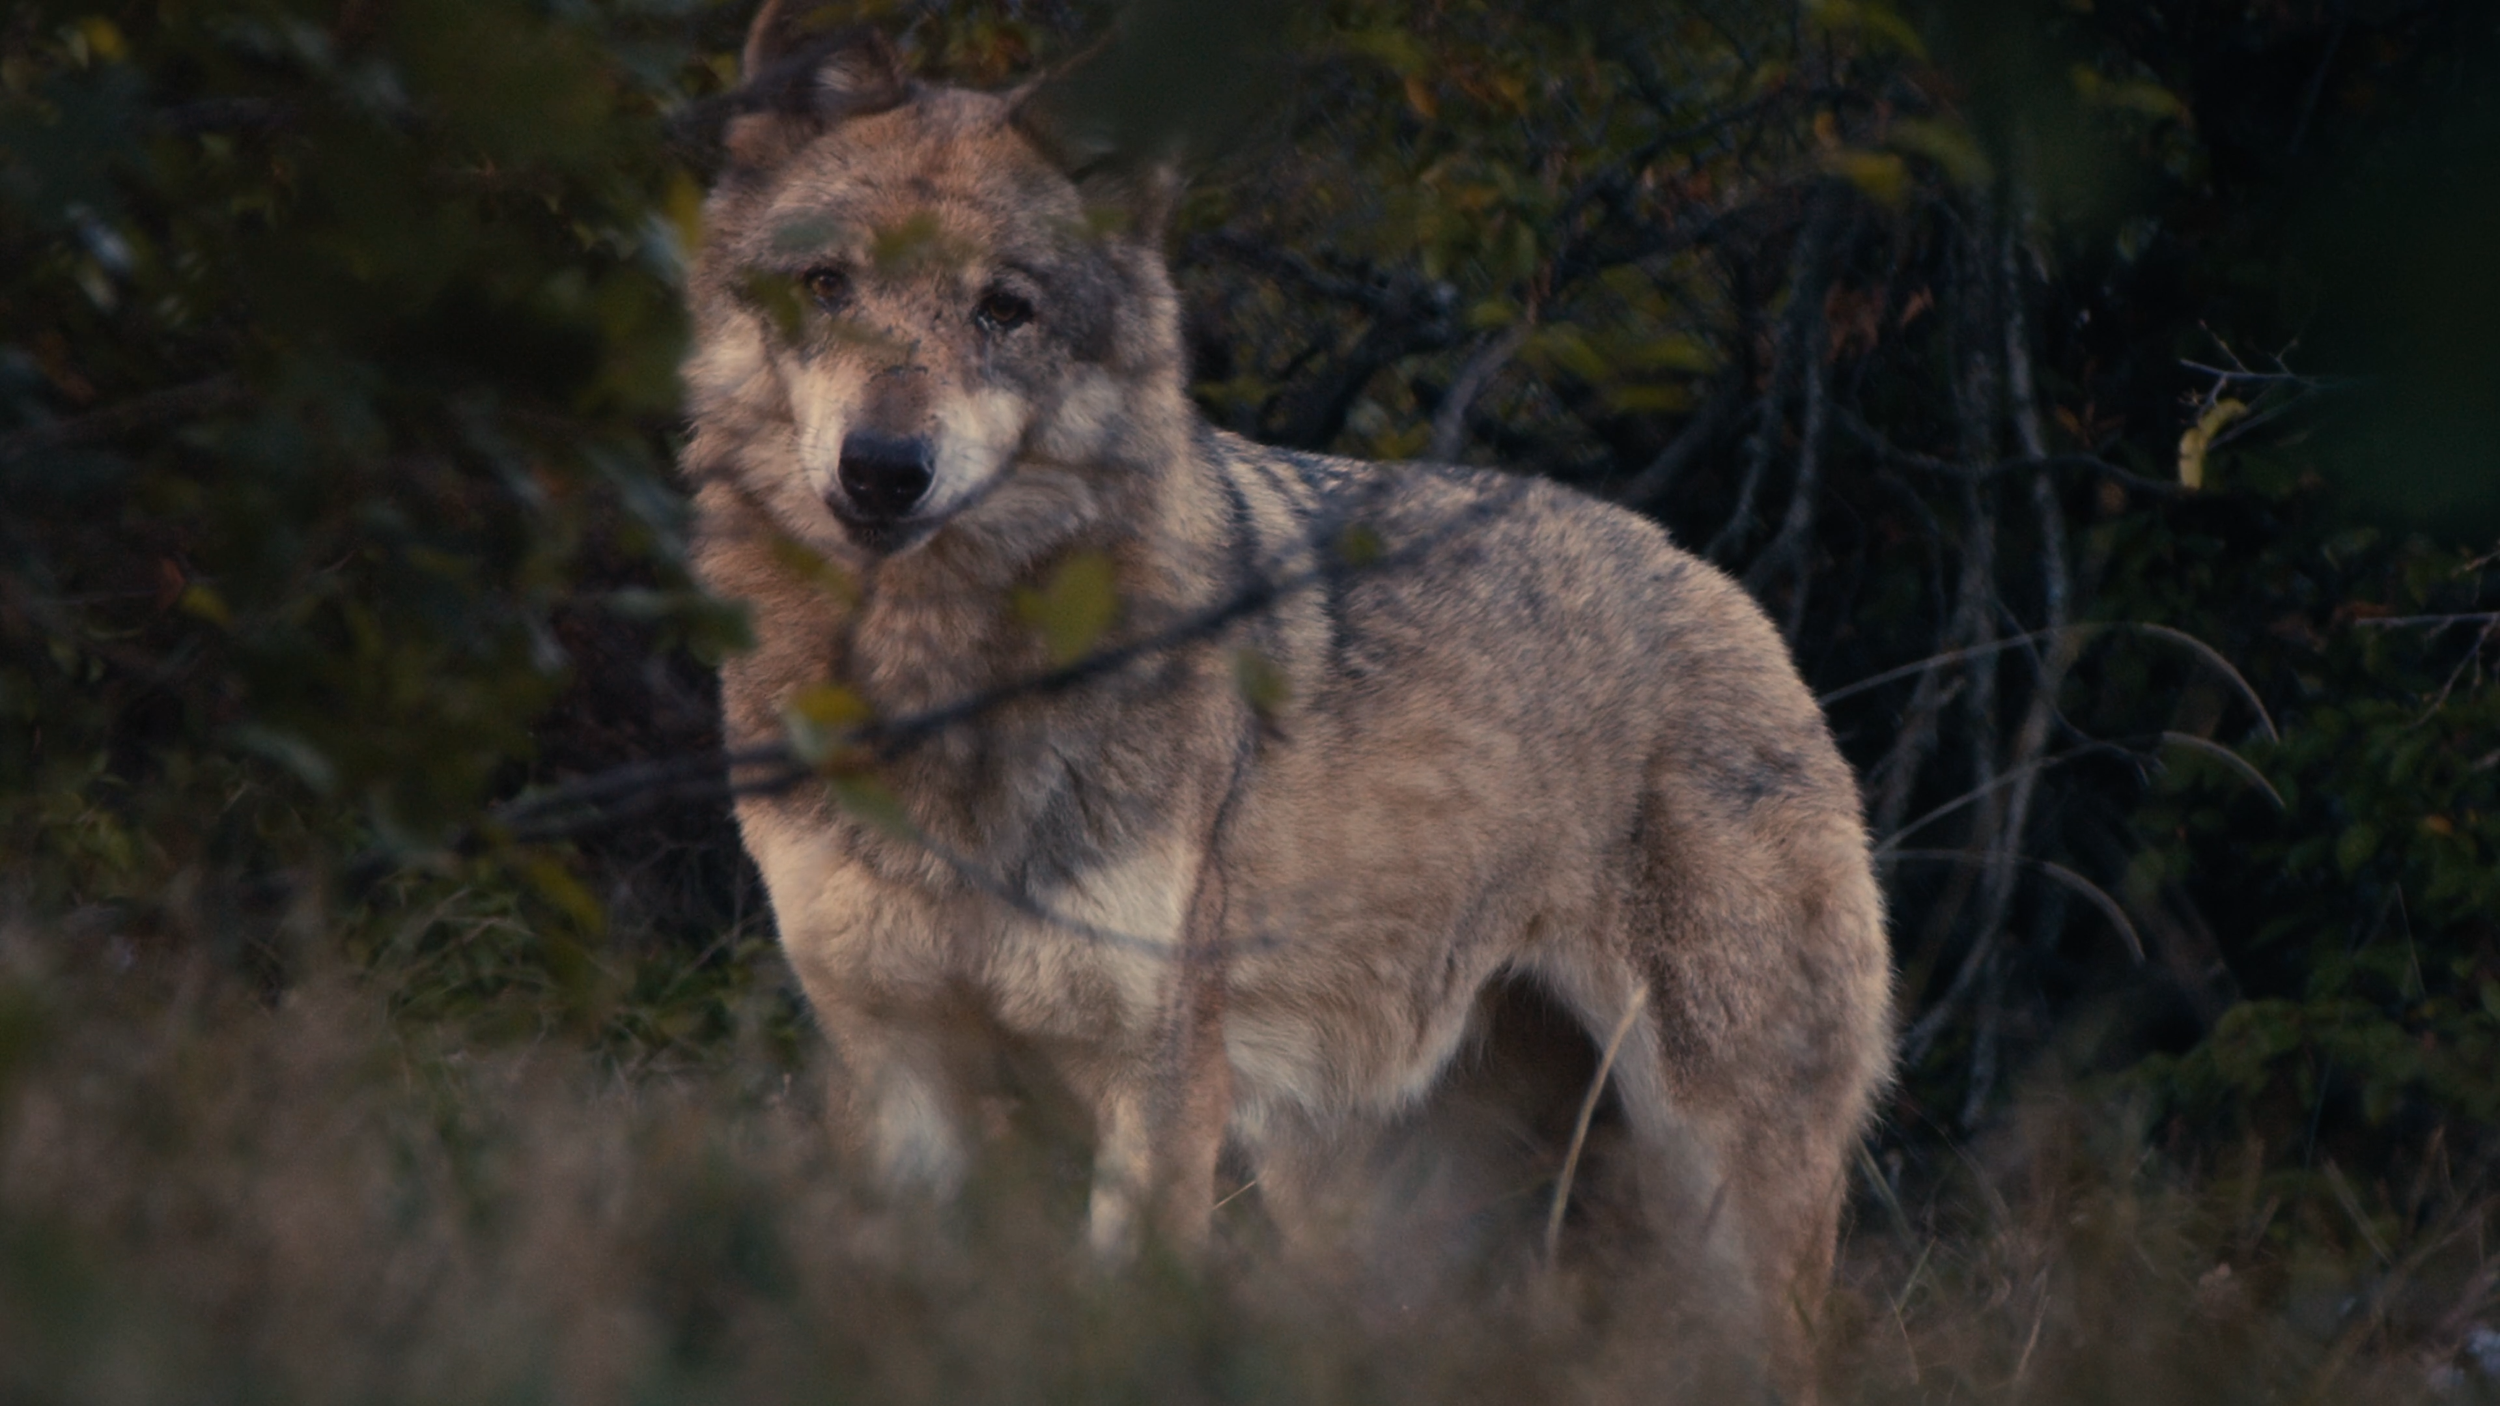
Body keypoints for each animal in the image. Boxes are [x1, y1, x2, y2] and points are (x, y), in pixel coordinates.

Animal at [682, 1, 1893, 1390]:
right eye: (827, 287)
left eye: (1004, 310)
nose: (884, 468)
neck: (940, 688)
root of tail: (1724, 586)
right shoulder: (895, 1070)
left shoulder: (1160, 1088)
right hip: (1378, 1215)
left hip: (1723, 1202)